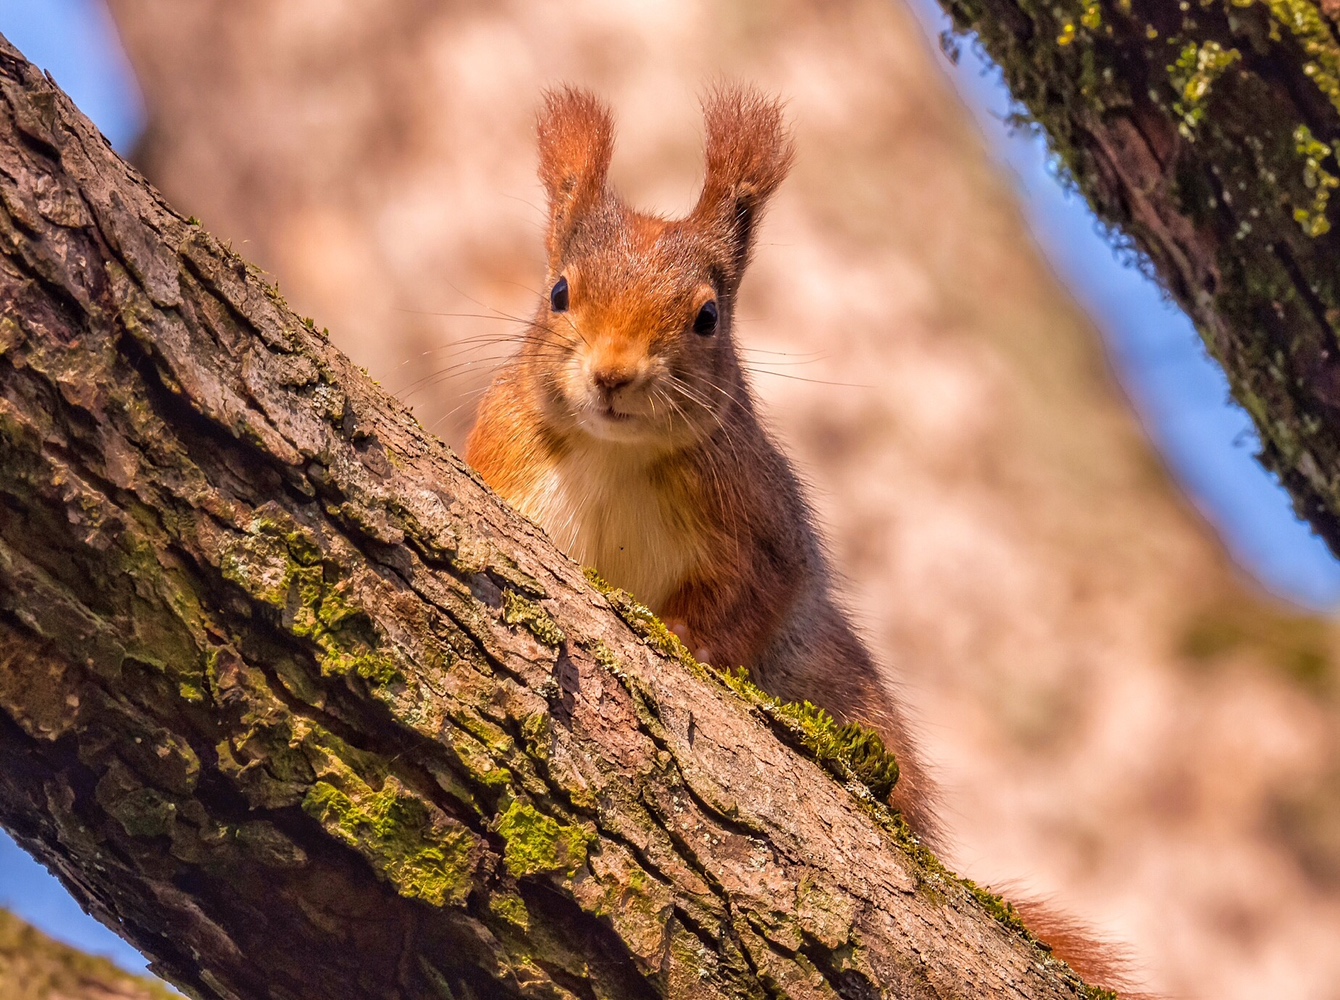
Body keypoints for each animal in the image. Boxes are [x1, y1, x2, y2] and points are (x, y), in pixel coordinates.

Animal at [469, 85, 1141, 991]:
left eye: (708, 317)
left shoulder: (760, 529)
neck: (612, 455)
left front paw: (684, 641)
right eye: (559, 292)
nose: (613, 375)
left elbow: (754, 602)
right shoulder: (503, 468)